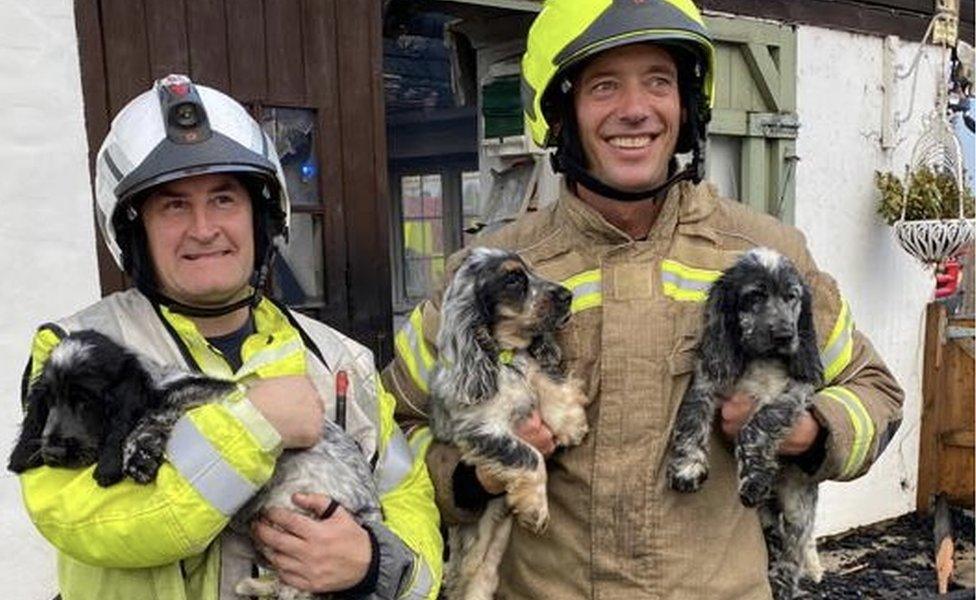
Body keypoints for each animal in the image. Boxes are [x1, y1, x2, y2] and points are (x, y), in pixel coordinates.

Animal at [8, 328, 382, 600]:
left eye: (86, 401)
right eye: (49, 401)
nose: (52, 451)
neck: (154, 385)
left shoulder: (201, 398)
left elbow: (157, 417)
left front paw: (135, 456)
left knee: (298, 588)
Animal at [668, 246, 820, 596]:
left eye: (792, 297)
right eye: (754, 296)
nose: (785, 335)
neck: (760, 360)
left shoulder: (796, 393)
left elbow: (759, 423)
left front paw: (753, 478)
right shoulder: (707, 380)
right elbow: (691, 416)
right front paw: (688, 467)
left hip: (797, 505)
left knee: (793, 552)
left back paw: (782, 581)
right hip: (767, 516)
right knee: (774, 536)